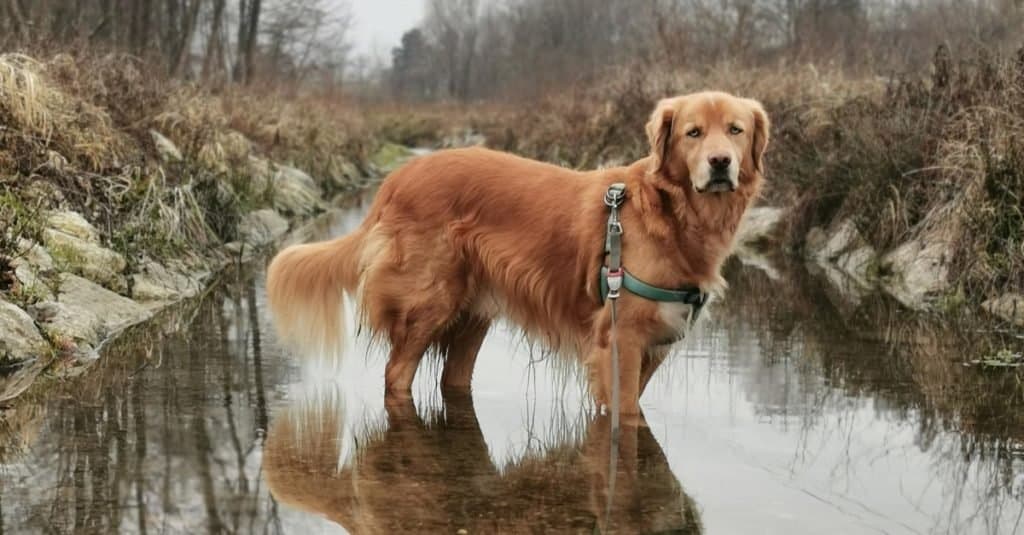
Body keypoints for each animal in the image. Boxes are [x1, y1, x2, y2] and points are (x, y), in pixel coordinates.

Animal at [264, 90, 770, 412]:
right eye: (692, 133)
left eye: (736, 130)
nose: (720, 163)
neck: (670, 214)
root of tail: (399, 177)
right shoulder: (620, 341)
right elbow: (626, 418)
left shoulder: (654, 347)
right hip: (429, 302)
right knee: (396, 374)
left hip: (472, 315)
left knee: (451, 379)